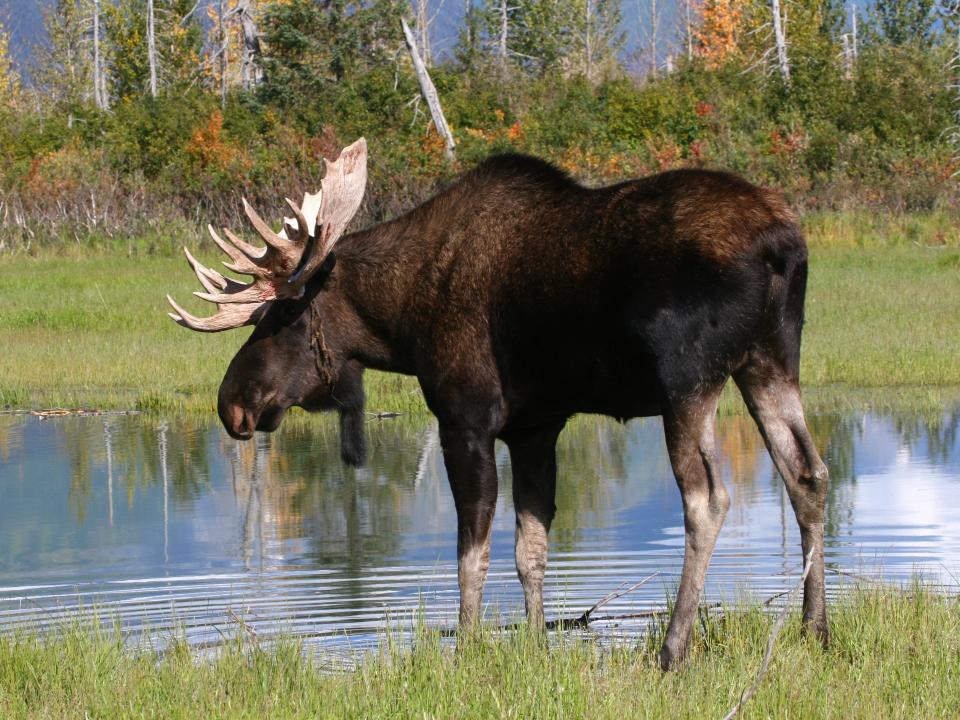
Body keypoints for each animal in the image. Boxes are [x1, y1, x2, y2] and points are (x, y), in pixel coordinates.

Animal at [169, 136, 828, 668]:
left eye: (280, 318)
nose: (232, 404)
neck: (403, 323)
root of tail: (782, 245)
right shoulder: (535, 428)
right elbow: (530, 548)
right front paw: (536, 644)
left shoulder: (465, 420)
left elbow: (472, 553)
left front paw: (466, 647)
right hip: (770, 361)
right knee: (808, 474)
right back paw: (814, 630)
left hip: (689, 380)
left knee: (708, 498)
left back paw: (672, 649)